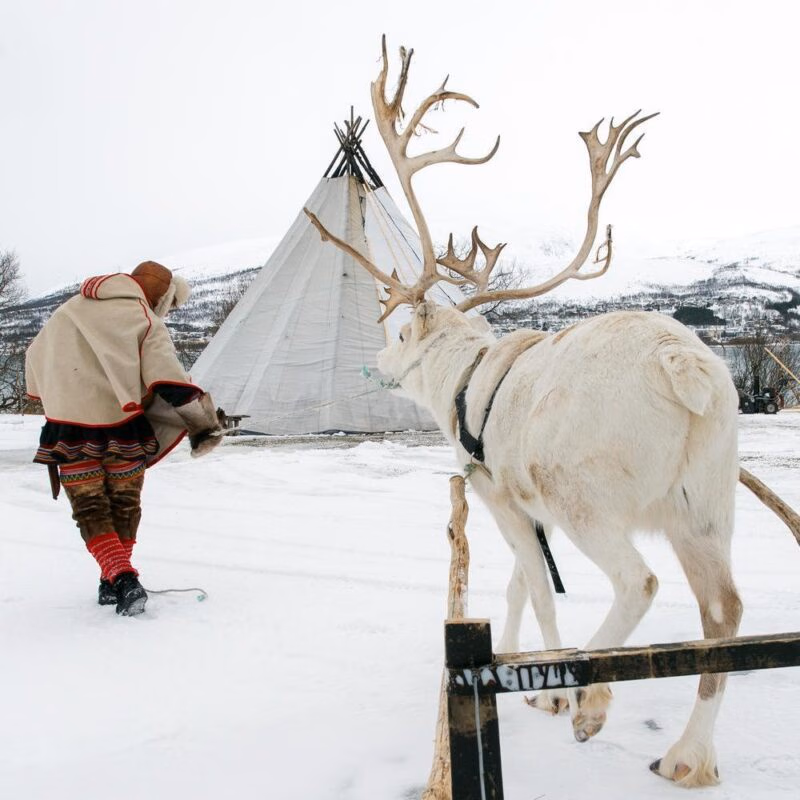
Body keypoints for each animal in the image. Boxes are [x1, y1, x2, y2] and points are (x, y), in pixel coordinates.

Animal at [305, 37, 800, 788]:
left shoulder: (503, 496)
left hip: (586, 496)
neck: (460, 381)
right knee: (724, 612)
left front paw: (552, 689)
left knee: (639, 581)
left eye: (402, 332)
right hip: (705, 504)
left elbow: (536, 588)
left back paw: (591, 700)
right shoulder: (527, 510)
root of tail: (681, 364)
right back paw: (688, 757)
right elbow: (516, 586)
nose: (378, 363)